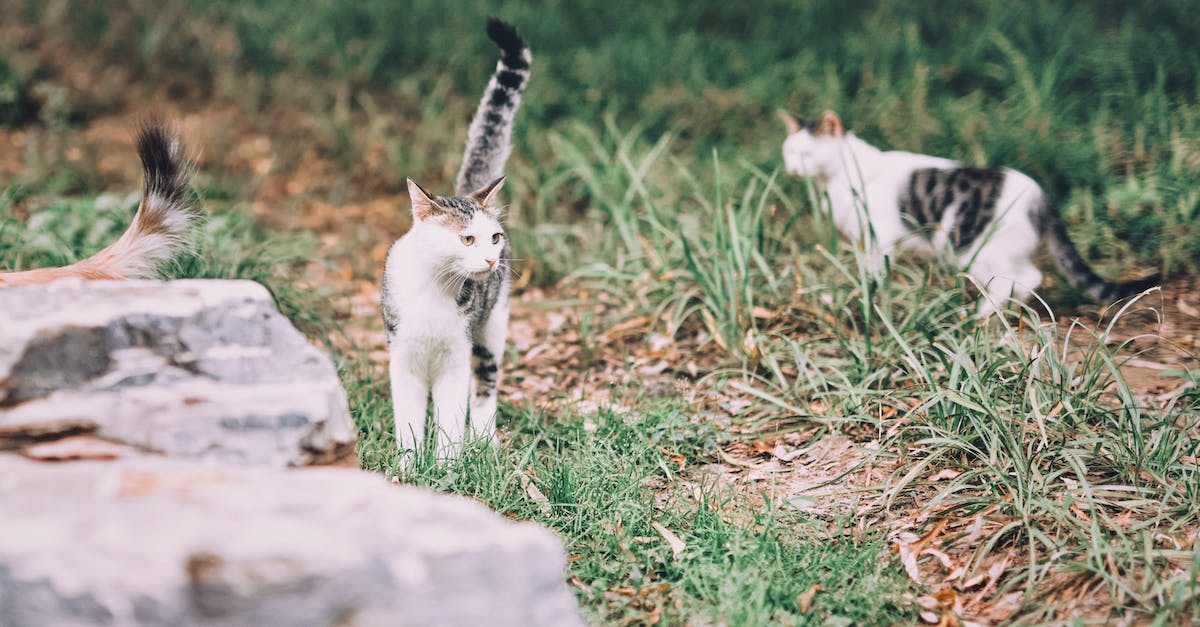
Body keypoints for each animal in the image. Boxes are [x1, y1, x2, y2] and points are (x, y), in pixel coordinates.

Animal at [379, 19, 530, 454]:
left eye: (494, 238)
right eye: (466, 240)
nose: (491, 259)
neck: (433, 289)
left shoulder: (455, 360)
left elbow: (449, 420)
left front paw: (447, 463)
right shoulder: (403, 358)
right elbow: (408, 422)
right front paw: (409, 464)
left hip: (491, 327)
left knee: (486, 383)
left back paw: (483, 440)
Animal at [772, 109, 1156, 314]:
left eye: (806, 154)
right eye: (789, 152)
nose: (792, 168)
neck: (838, 178)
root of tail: (1041, 197)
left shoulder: (881, 237)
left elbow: (875, 270)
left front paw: (870, 293)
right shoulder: (865, 241)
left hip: (974, 249)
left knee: (1020, 278)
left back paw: (982, 314)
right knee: (1029, 277)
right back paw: (1008, 311)